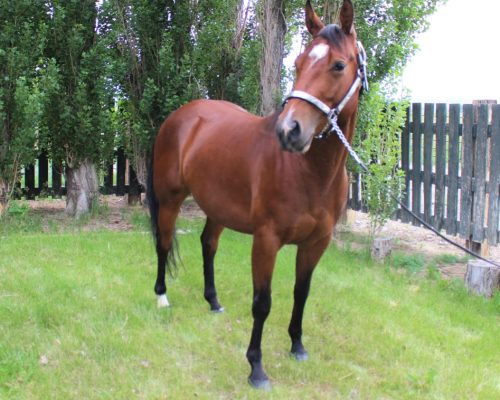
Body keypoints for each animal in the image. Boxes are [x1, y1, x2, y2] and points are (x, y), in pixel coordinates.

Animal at [147, 0, 368, 388]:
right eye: (298, 63)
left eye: (339, 65)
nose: (289, 131)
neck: (309, 172)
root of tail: (181, 115)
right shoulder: (266, 241)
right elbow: (262, 303)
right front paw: (256, 368)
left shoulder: (317, 243)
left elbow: (301, 293)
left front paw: (297, 346)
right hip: (171, 199)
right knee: (164, 242)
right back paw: (162, 297)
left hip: (218, 207)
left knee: (208, 244)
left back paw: (213, 301)